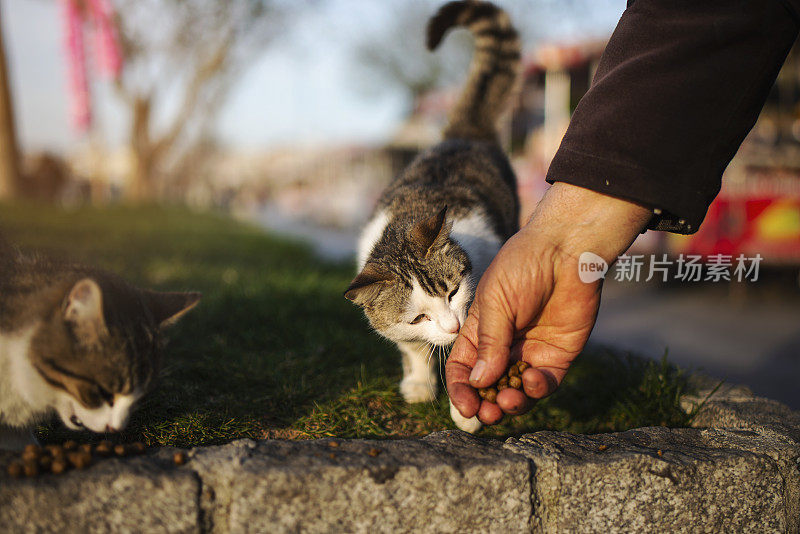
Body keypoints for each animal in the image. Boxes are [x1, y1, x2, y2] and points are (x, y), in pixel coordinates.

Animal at [346, 0, 520, 434]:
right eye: (419, 316)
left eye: (453, 292)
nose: (454, 327)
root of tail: (463, 134)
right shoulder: (398, 329)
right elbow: (413, 350)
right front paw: (420, 385)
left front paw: (466, 415)